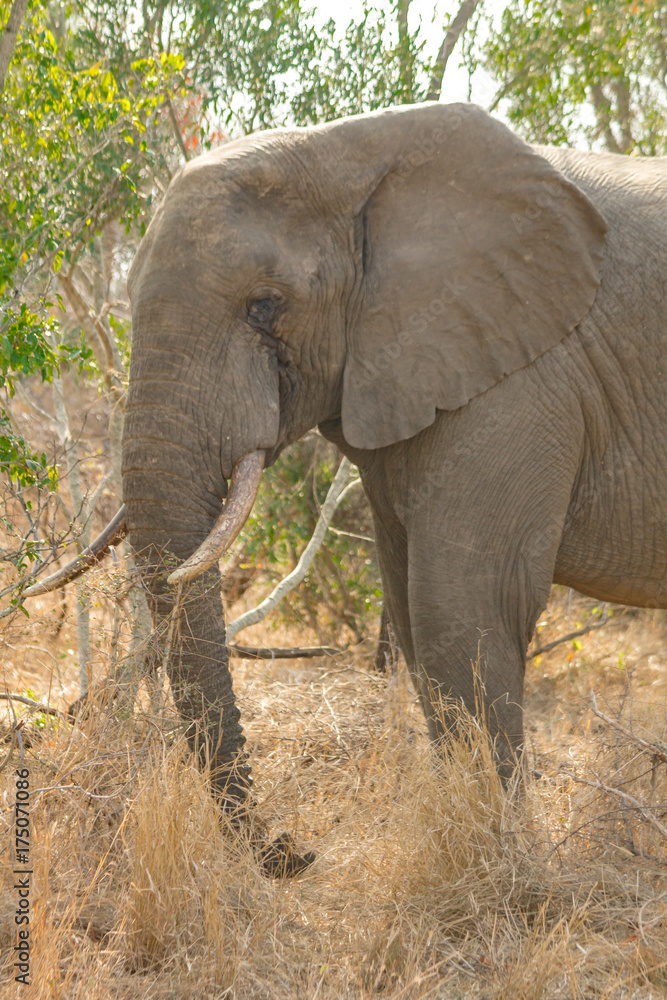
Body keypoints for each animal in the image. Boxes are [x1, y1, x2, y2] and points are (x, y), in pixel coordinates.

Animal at [46, 101, 665, 869]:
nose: (295, 852)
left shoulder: (521, 376)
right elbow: (410, 608)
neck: (355, 152)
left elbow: (461, 604)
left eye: (264, 305)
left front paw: (508, 862)